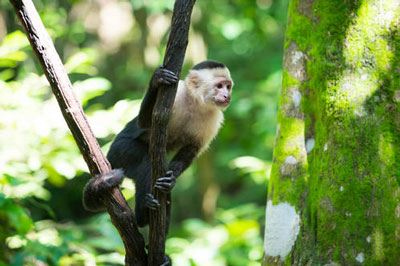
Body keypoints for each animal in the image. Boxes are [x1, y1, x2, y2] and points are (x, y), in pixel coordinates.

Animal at [83, 60, 234, 229]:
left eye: (228, 86)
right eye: (219, 86)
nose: (227, 95)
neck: (195, 103)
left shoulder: (215, 119)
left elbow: (191, 150)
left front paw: (171, 180)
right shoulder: (177, 94)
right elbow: (145, 122)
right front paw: (157, 80)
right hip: (118, 151)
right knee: (145, 162)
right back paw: (143, 216)